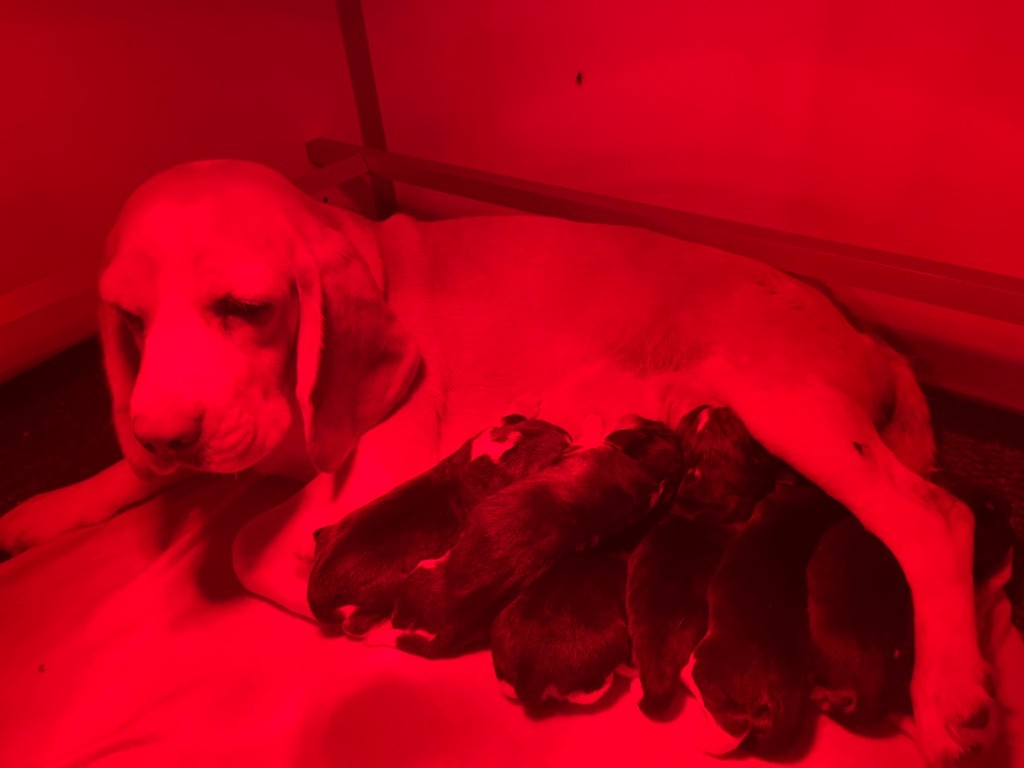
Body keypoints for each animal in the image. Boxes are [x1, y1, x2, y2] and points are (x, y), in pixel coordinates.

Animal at [307, 417, 573, 634]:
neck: (482, 458)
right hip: (383, 588)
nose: (567, 436)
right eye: (556, 452)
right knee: (356, 622)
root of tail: (318, 584)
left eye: (537, 424)